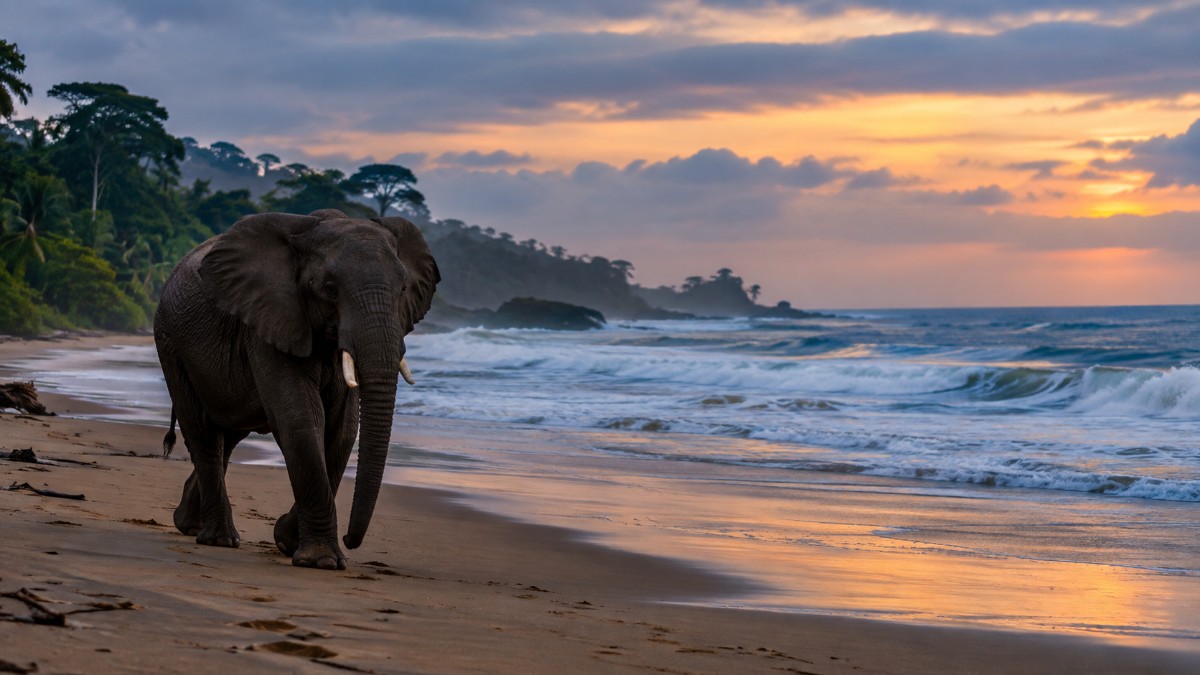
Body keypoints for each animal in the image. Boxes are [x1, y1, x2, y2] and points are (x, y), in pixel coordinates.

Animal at [153, 208, 439, 570]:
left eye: (403, 288)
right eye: (330, 289)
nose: (351, 539)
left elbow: (343, 430)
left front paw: (288, 541)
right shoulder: (269, 319)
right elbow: (300, 418)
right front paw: (320, 560)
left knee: (227, 435)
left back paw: (188, 524)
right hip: (170, 342)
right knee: (202, 432)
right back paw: (219, 539)